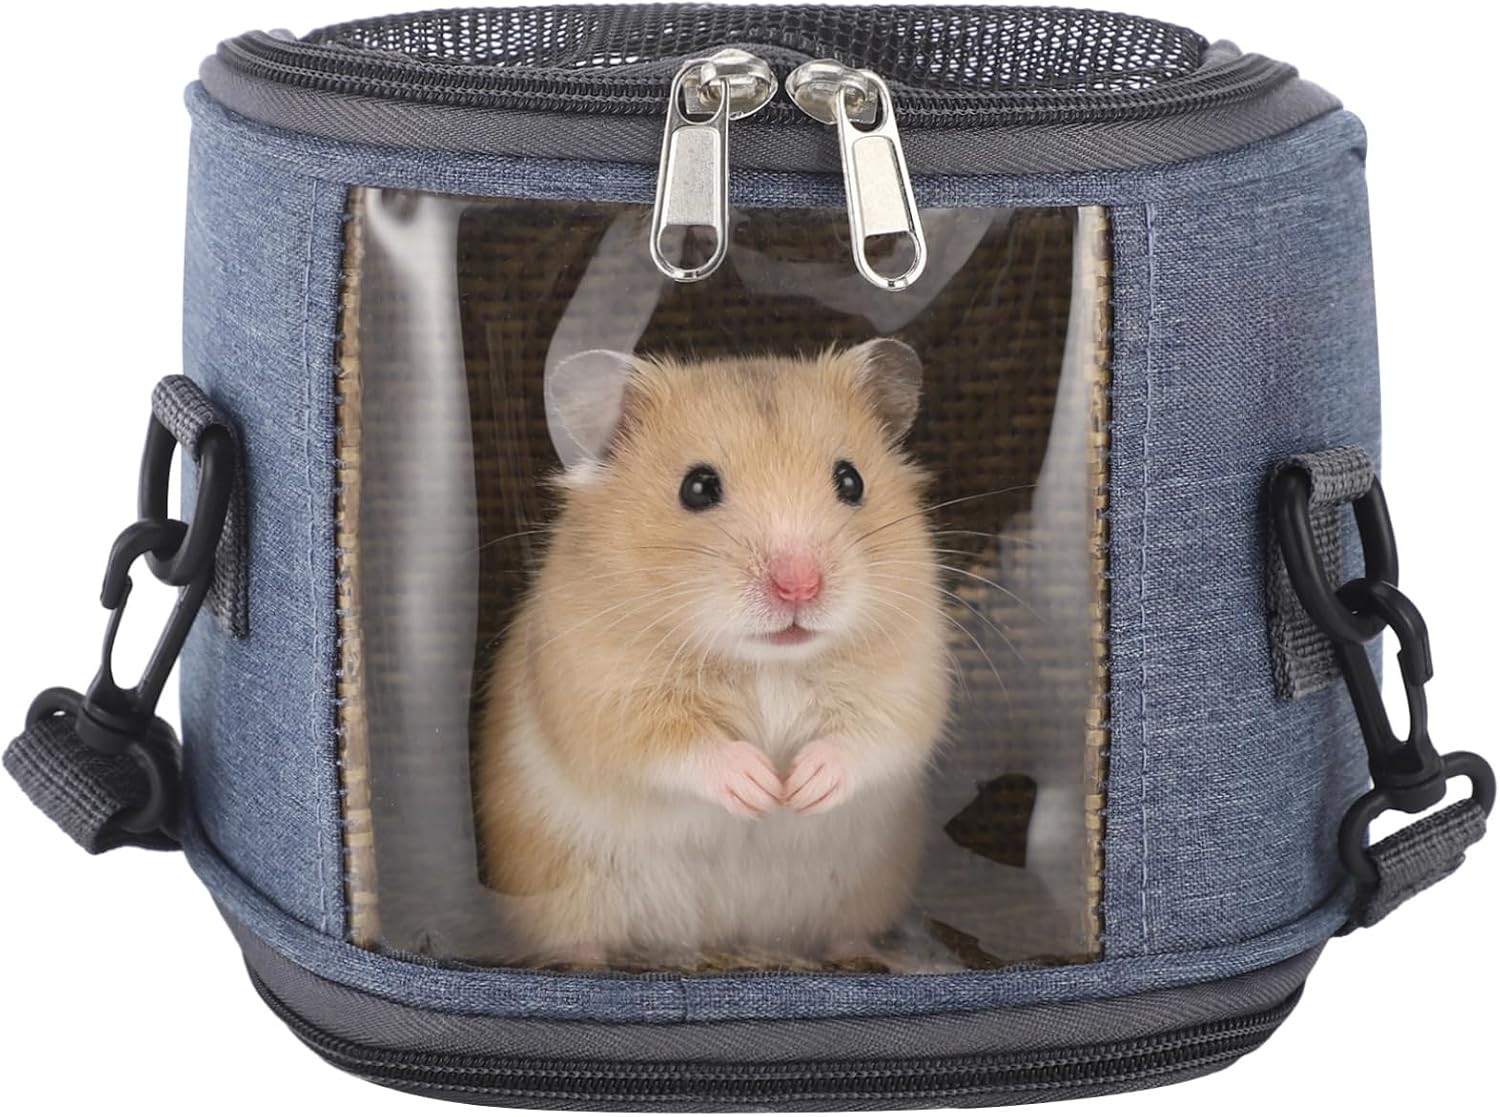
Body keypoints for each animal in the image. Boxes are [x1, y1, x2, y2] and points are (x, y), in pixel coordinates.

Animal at [475, 338, 950, 966]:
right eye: (697, 488)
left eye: (851, 481)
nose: (799, 586)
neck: (766, 662)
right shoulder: (602, 695)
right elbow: (676, 747)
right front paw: (762, 788)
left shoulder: (907, 678)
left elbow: (872, 739)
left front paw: (799, 788)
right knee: (578, 944)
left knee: (847, 933)